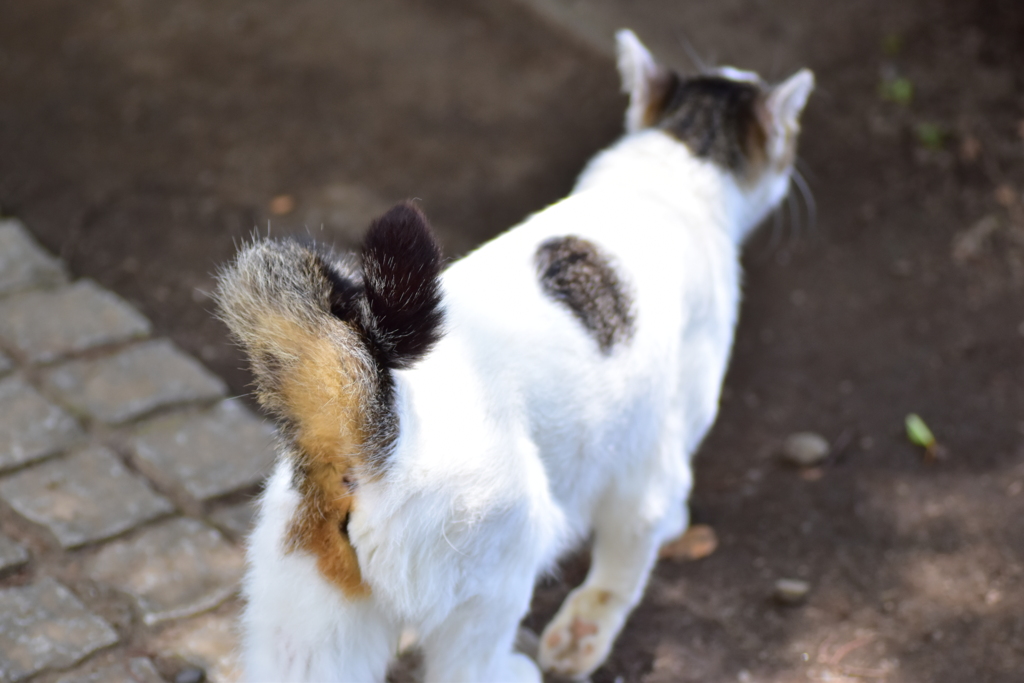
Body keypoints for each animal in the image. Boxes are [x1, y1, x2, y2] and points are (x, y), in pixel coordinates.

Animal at [218, 28, 815, 683]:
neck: (665, 174)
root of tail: (374, 434)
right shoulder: (653, 463)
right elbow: (621, 570)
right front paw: (582, 638)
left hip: (311, 635)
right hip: (504, 560)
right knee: (466, 666)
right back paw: (517, 667)